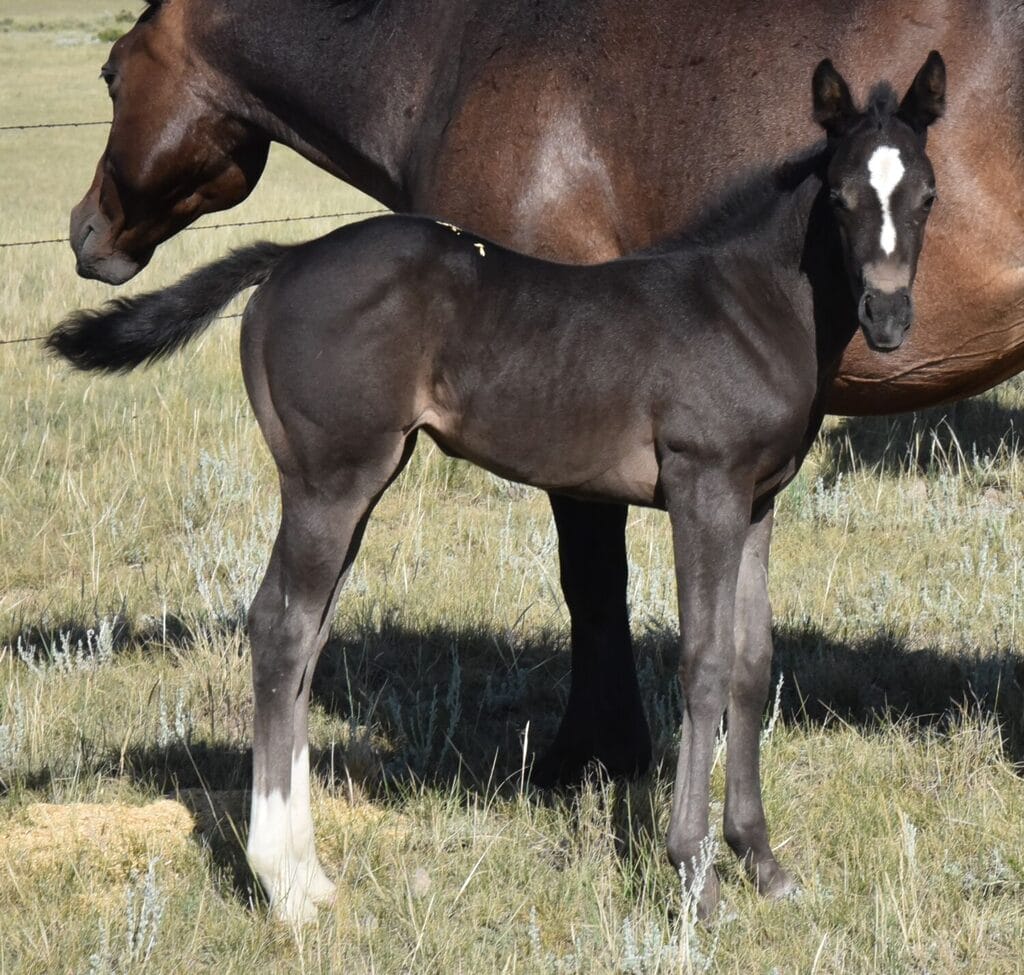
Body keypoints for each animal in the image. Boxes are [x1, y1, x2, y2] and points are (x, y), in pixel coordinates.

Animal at [50, 53, 946, 923]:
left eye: (928, 195)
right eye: (841, 197)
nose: (890, 318)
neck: (745, 304)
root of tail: (288, 258)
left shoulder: (758, 500)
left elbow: (754, 663)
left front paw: (763, 863)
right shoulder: (705, 489)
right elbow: (705, 662)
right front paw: (695, 876)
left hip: (358, 482)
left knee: (306, 637)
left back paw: (310, 875)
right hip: (328, 478)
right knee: (279, 626)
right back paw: (287, 885)